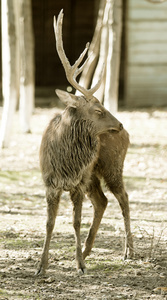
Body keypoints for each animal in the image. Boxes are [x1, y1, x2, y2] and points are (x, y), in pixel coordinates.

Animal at [36, 9, 133, 276]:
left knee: (123, 198)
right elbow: (49, 224)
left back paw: (128, 252)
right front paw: (41, 266)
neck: (64, 163)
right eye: (98, 110)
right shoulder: (50, 183)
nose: (120, 125)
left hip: (112, 166)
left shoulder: (77, 184)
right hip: (92, 176)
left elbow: (75, 222)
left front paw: (79, 265)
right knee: (103, 201)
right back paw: (88, 251)